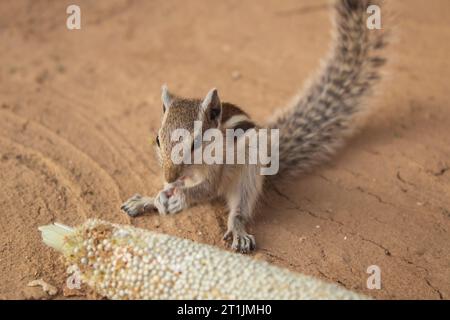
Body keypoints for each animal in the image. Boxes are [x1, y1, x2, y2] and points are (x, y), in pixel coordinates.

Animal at [120, 0, 386, 254]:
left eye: (195, 143)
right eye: (157, 140)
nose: (169, 176)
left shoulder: (216, 168)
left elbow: (205, 190)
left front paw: (181, 198)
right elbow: (176, 187)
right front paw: (158, 195)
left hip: (249, 175)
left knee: (239, 209)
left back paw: (238, 231)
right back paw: (146, 201)